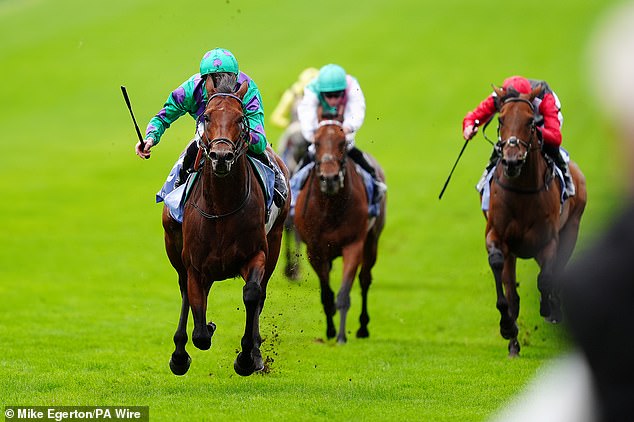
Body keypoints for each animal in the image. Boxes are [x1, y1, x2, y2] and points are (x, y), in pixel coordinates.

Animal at [163, 77, 292, 378]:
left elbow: (252, 294)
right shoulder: (195, 265)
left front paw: (247, 357)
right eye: (207, 117)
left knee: (260, 293)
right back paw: (179, 354)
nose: (221, 156)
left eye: (241, 118)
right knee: (185, 292)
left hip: (276, 241)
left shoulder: (256, 254)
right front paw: (204, 331)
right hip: (175, 248)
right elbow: (199, 330)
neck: (221, 208)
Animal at [292, 118, 386, 342]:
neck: (330, 208)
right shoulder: (315, 251)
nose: (330, 178)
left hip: (372, 241)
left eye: (342, 143)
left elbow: (344, 292)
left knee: (365, 279)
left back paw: (363, 327)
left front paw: (342, 336)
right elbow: (327, 294)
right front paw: (330, 330)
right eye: (316, 143)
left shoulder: (353, 245)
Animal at [486, 85, 584, 356]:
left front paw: (548, 308)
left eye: (531, 122)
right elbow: (502, 278)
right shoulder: (497, 236)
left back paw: (554, 309)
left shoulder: (548, 241)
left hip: (571, 230)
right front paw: (507, 327)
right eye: (501, 119)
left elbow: (545, 279)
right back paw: (513, 341)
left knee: (556, 272)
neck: (521, 191)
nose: (511, 160)